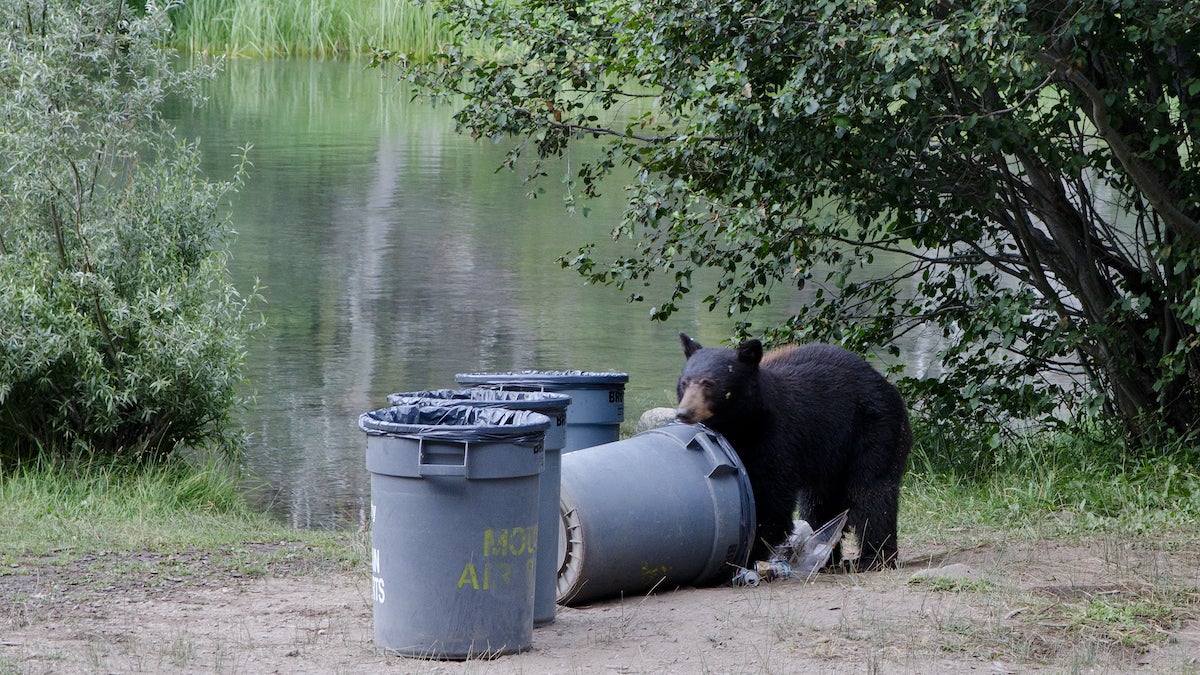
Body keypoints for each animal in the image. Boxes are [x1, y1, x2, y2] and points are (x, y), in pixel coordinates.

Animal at [675, 333, 912, 571]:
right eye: (684, 383)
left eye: (709, 383)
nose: (683, 413)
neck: (742, 424)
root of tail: (888, 386)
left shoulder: (775, 438)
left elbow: (771, 498)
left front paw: (750, 552)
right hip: (828, 458)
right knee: (819, 504)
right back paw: (826, 554)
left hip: (873, 429)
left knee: (871, 492)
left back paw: (873, 557)